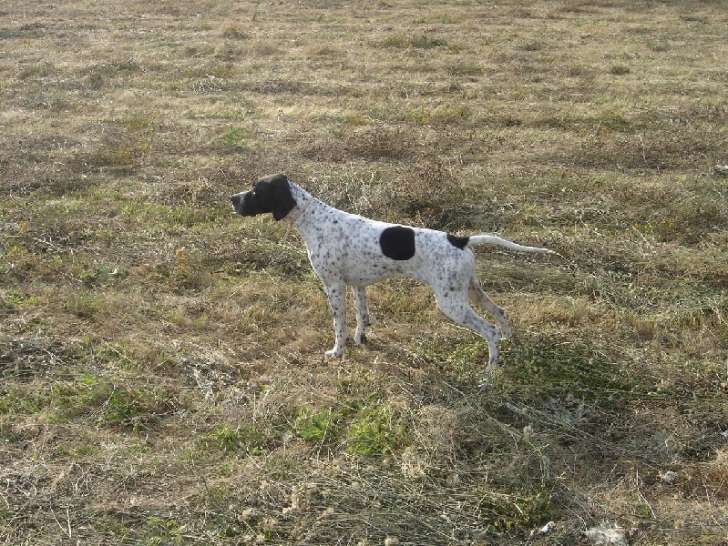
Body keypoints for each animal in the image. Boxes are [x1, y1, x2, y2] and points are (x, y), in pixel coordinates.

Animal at [230, 174, 556, 378]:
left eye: (256, 191)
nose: (232, 198)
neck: (314, 218)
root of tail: (461, 239)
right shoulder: (356, 285)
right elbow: (362, 317)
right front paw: (361, 339)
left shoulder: (333, 285)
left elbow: (339, 325)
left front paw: (337, 351)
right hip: (471, 291)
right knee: (501, 313)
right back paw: (511, 344)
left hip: (451, 303)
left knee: (489, 330)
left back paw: (489, 372)